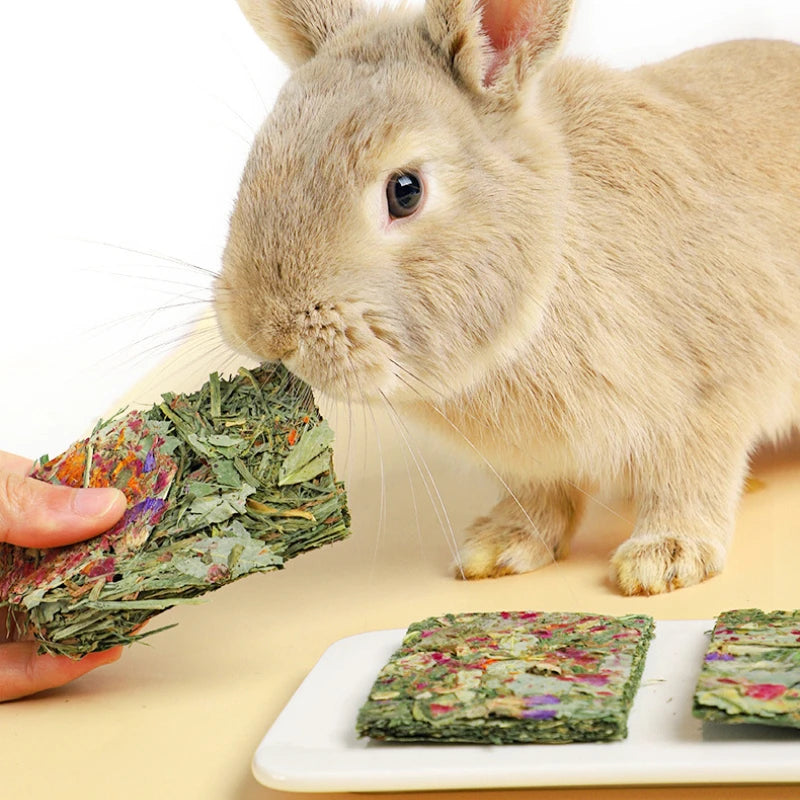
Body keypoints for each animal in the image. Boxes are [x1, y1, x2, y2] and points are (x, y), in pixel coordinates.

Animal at [214, 0, 800, 595]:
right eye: (258, 158)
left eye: (405, 191)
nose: (265, 331)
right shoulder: (536, 462)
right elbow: (540, 499)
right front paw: (498, 548)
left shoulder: (714, 388)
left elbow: (691, 478)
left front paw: (663, 560)